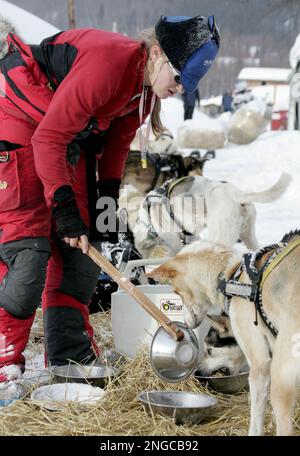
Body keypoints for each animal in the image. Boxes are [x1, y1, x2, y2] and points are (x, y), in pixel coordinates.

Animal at [150, 233, 300, 436]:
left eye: (175, 291)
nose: (198, 374)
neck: (231, 276)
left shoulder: (260, 365)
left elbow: (256, 420)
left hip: (279, 379)